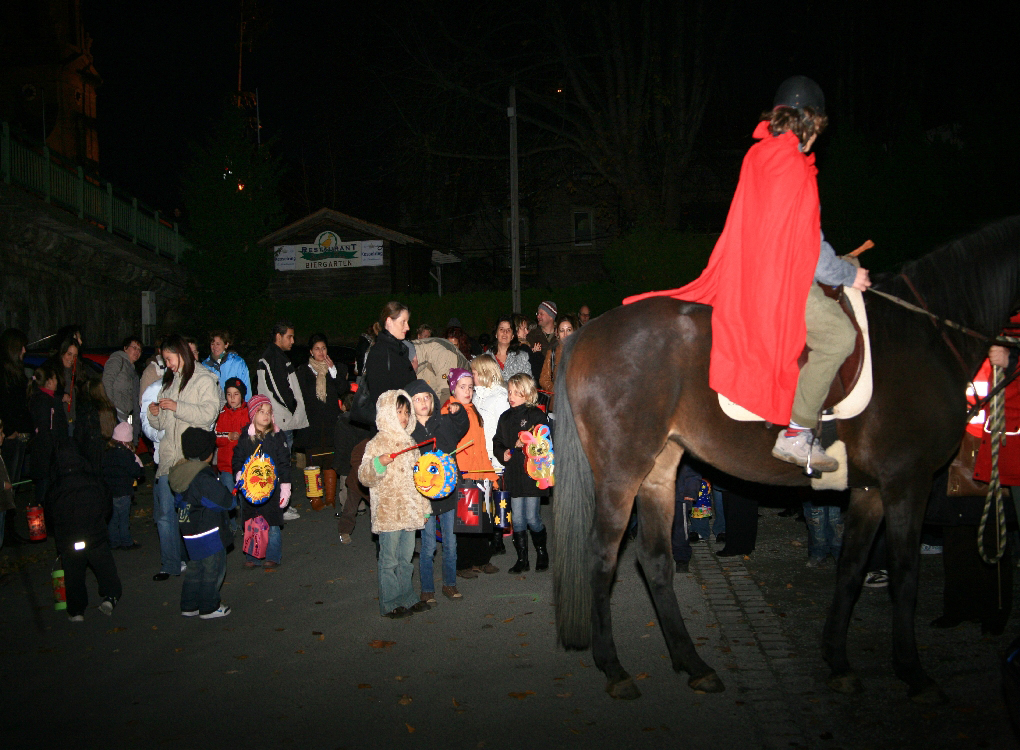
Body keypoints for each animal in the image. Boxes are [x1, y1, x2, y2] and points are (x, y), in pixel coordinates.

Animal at [552, 216, 1020, 702]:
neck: (926, 335)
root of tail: (586, 332)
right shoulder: (907, 481)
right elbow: (905, 574)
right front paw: (913, 671)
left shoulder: (871, 489)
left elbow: (851, 568)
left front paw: (838, 661)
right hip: (621, 473)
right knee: (603, 556)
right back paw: (614, 668)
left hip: (659, 470)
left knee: (654, 557)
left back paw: (693, 663)